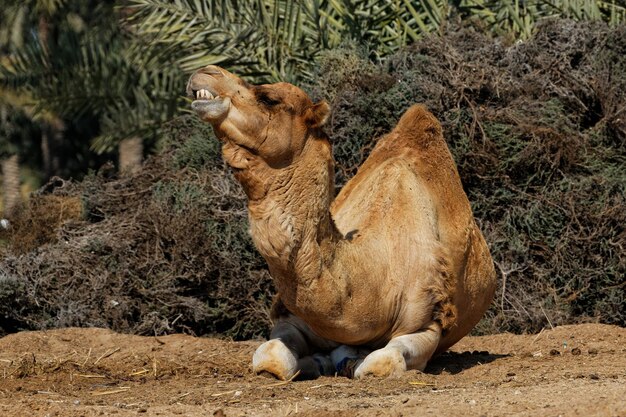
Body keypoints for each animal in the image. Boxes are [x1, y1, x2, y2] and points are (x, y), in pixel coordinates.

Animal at [184, 64, 492, 376]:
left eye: (268, 98)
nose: (206, 71)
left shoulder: (428, 321)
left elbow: (380, 363)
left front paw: (352, 360)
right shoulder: (294, 317)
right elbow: (271, 358)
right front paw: (317, 361)